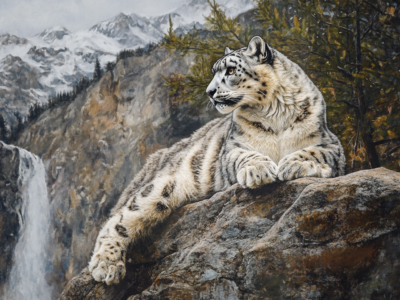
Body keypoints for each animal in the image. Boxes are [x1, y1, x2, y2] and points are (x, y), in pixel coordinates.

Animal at [89, 36, 346, 284]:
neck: (274, 113)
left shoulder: (331, 143)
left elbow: (315, 151)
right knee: (119, 220)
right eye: (214, 72)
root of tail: (157, 160)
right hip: (161, 187)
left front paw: (293, 164)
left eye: (230, 71)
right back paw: (106, 267)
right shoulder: (232, 148)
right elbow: (245, 155)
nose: (209, 92)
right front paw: (260, 170)